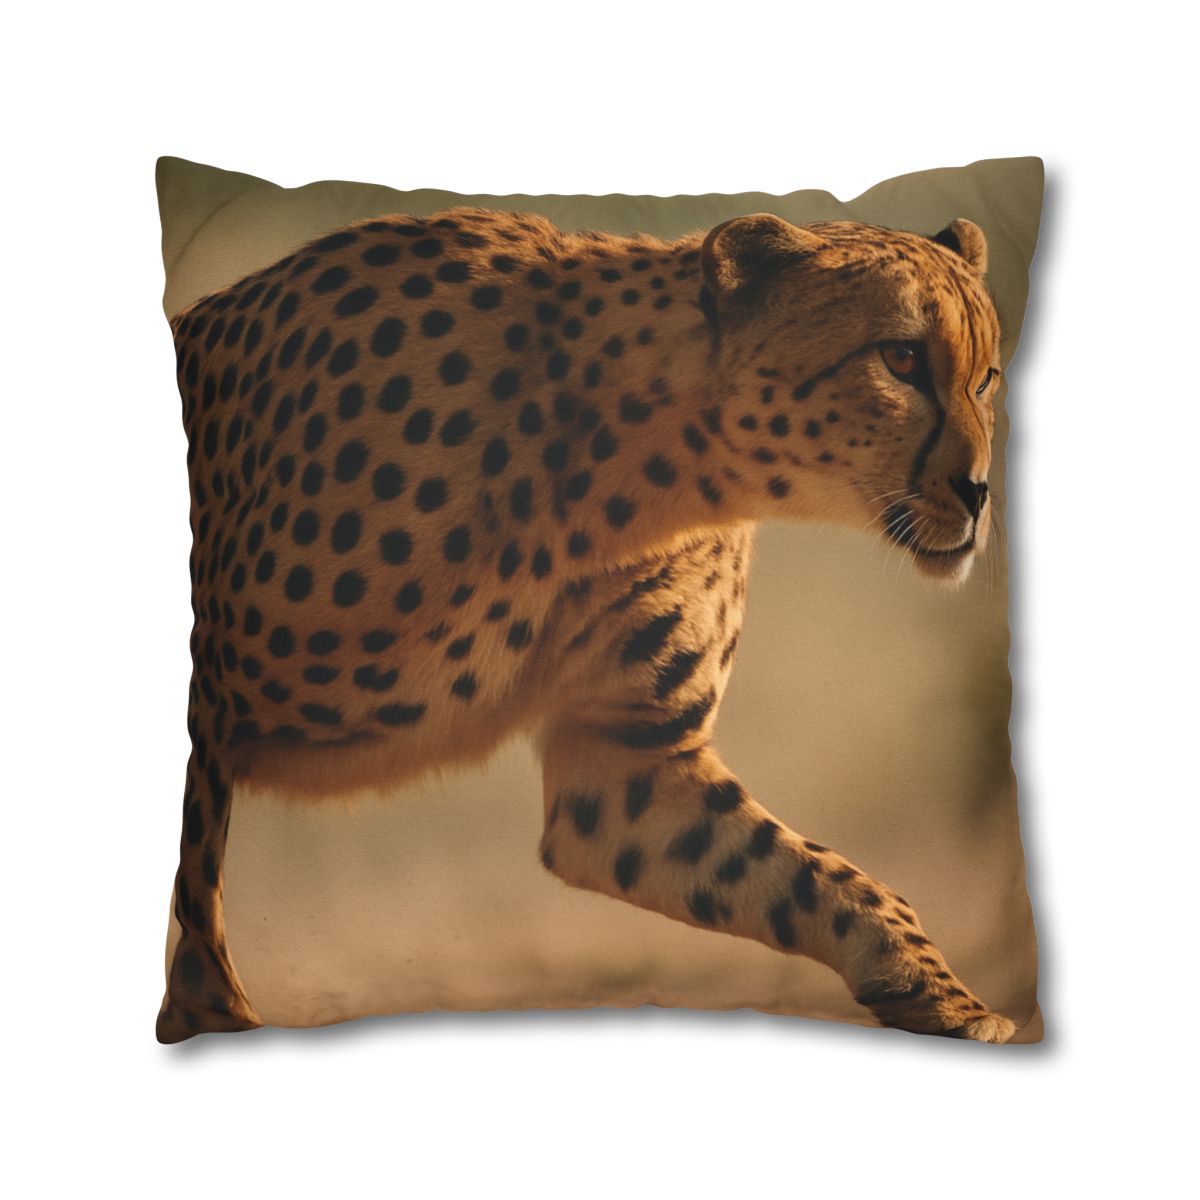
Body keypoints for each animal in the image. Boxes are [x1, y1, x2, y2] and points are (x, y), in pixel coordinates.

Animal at [158, 204, 1013, 1043]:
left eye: (988, 377)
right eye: (900, 358)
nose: (979, 493)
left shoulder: (624, 764)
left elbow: (821, 877)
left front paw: (946, 998)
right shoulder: (208, 703)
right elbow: (196, 890)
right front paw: (213, 1017)